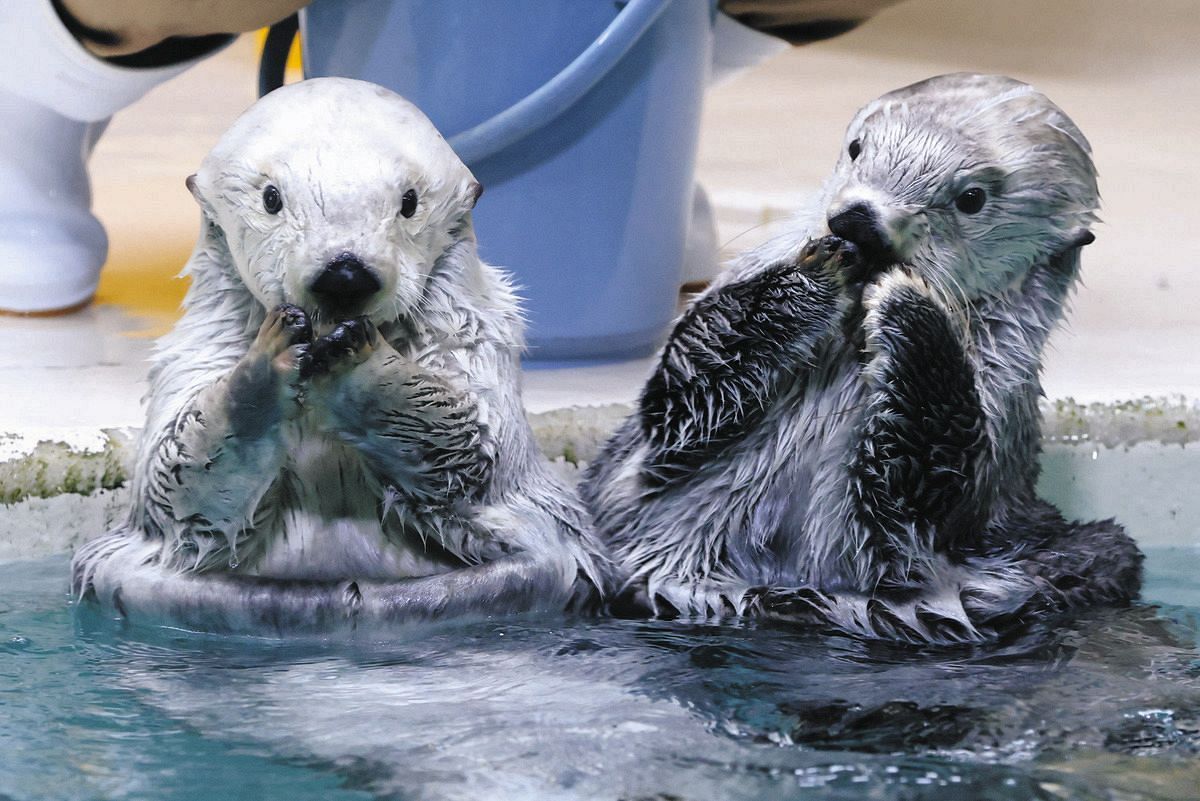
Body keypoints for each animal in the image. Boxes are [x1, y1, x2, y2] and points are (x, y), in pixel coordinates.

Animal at [72, 78, 613, 633]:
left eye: (409, 202)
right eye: (271, 198)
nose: (346, 274)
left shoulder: (475, 343)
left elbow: (476, 450)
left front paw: (359, 368)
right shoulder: (197, 352)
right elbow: (174, 485)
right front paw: (264, 372)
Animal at [582, 73, 1142, 644]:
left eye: (971, 198)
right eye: (856, 149)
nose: (860, 222)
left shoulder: (990, 419)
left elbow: (921, 480)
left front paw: (909, 305)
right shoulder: (650, 456)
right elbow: (681, 389)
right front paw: (821, 271)